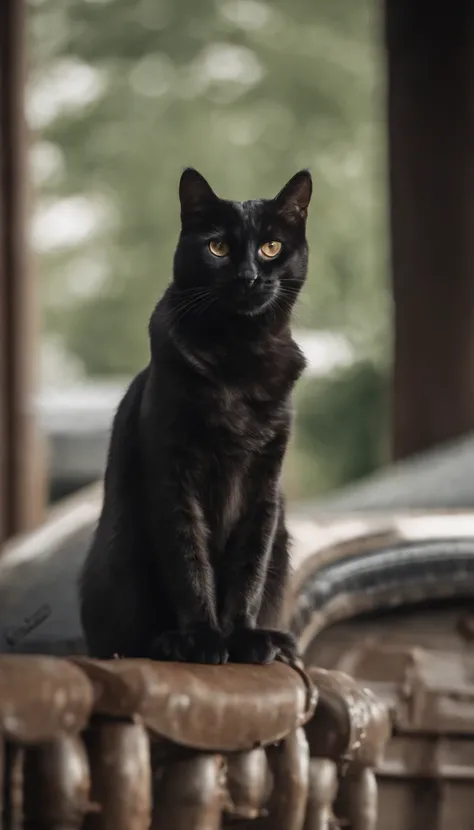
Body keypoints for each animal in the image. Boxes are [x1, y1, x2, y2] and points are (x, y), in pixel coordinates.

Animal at [79, 166, 312, 668]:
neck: (239, 355)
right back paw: (167, 642)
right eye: (218, 247)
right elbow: (189, 561)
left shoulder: (263, 486)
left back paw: (276, 640)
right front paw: (203, 639)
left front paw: (244, 637)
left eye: (271, 247)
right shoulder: (174, 476)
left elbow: (248, 570)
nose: (248, 276)